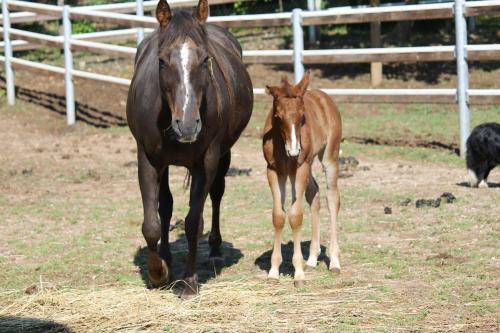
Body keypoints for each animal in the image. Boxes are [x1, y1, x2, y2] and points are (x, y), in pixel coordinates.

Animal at [127, 0, 254, 296]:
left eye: (206, 59)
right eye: (161, 61)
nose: (186, 125)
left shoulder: (206, 161)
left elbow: (194, 221)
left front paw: (189, 282)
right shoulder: (148, 159)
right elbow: (151, 223)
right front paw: (158, 273)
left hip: (224, 155)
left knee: (216, 195)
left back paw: (216, 251)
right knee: (165, 207)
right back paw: (166, 257)